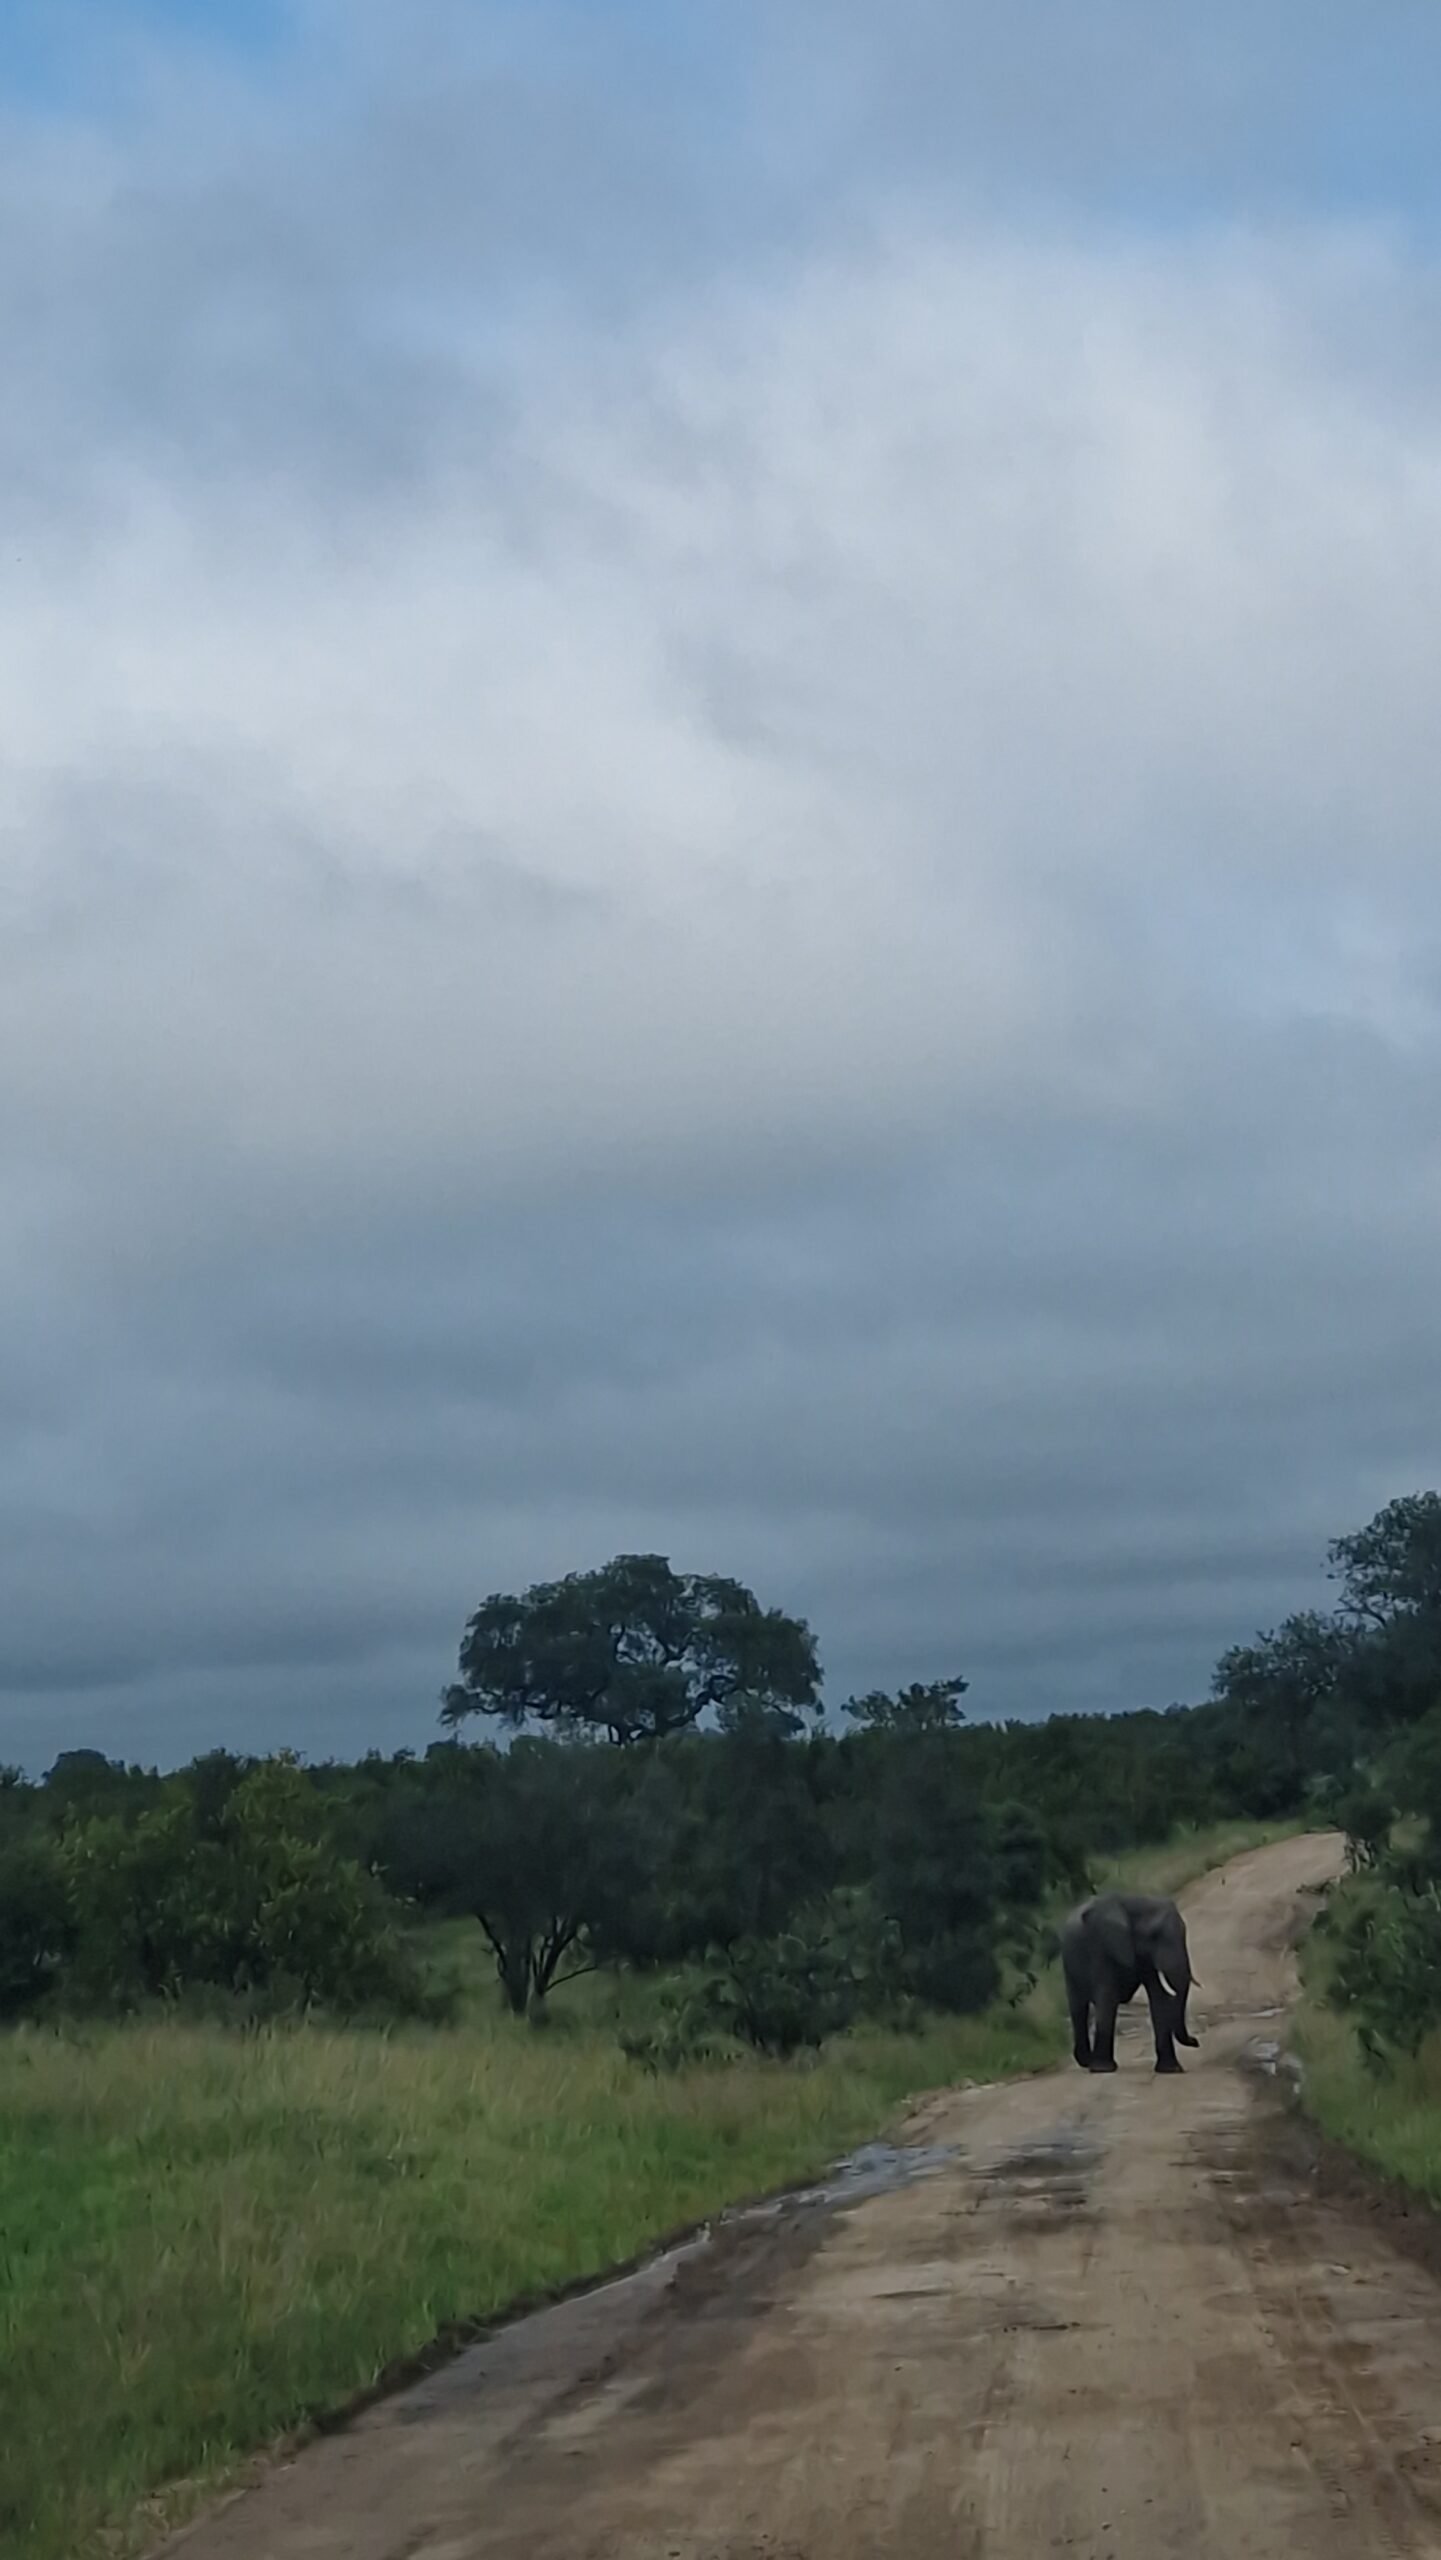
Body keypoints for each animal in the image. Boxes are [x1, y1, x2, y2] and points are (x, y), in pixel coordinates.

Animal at [1059, 1891, 1200, 2075]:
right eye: (1154, 1936)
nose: (1196, 2041)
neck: (1135, 1905)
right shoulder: (1100, 1945)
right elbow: (1107, 1997)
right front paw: (1102, 2069)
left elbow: (1158, 1997)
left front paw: (1171, 2069)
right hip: (1069, 1962)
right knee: (1078, 2007)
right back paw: (1087, 2062)